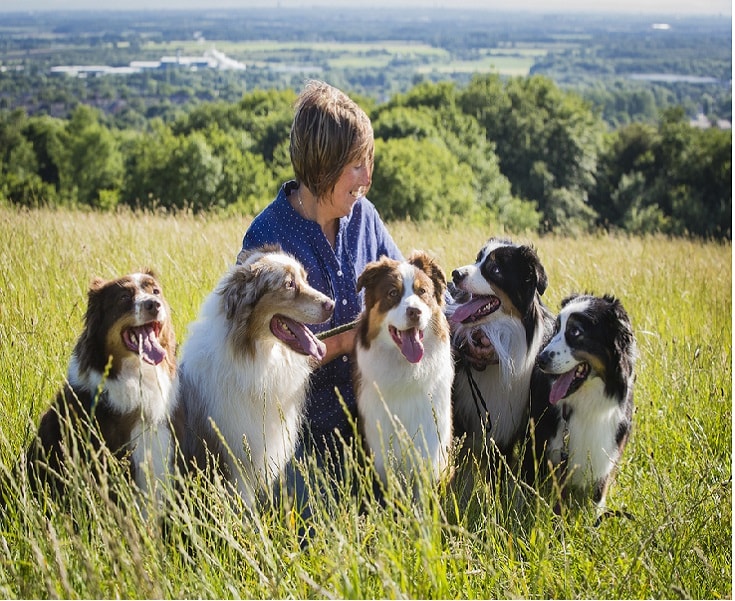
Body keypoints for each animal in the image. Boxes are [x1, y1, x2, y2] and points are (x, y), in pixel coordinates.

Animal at [352, 251, 452, 490]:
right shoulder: (380, 455)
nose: (415, 312)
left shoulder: (432, 450)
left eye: (422, 292)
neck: (407, 370)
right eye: (393, 293)